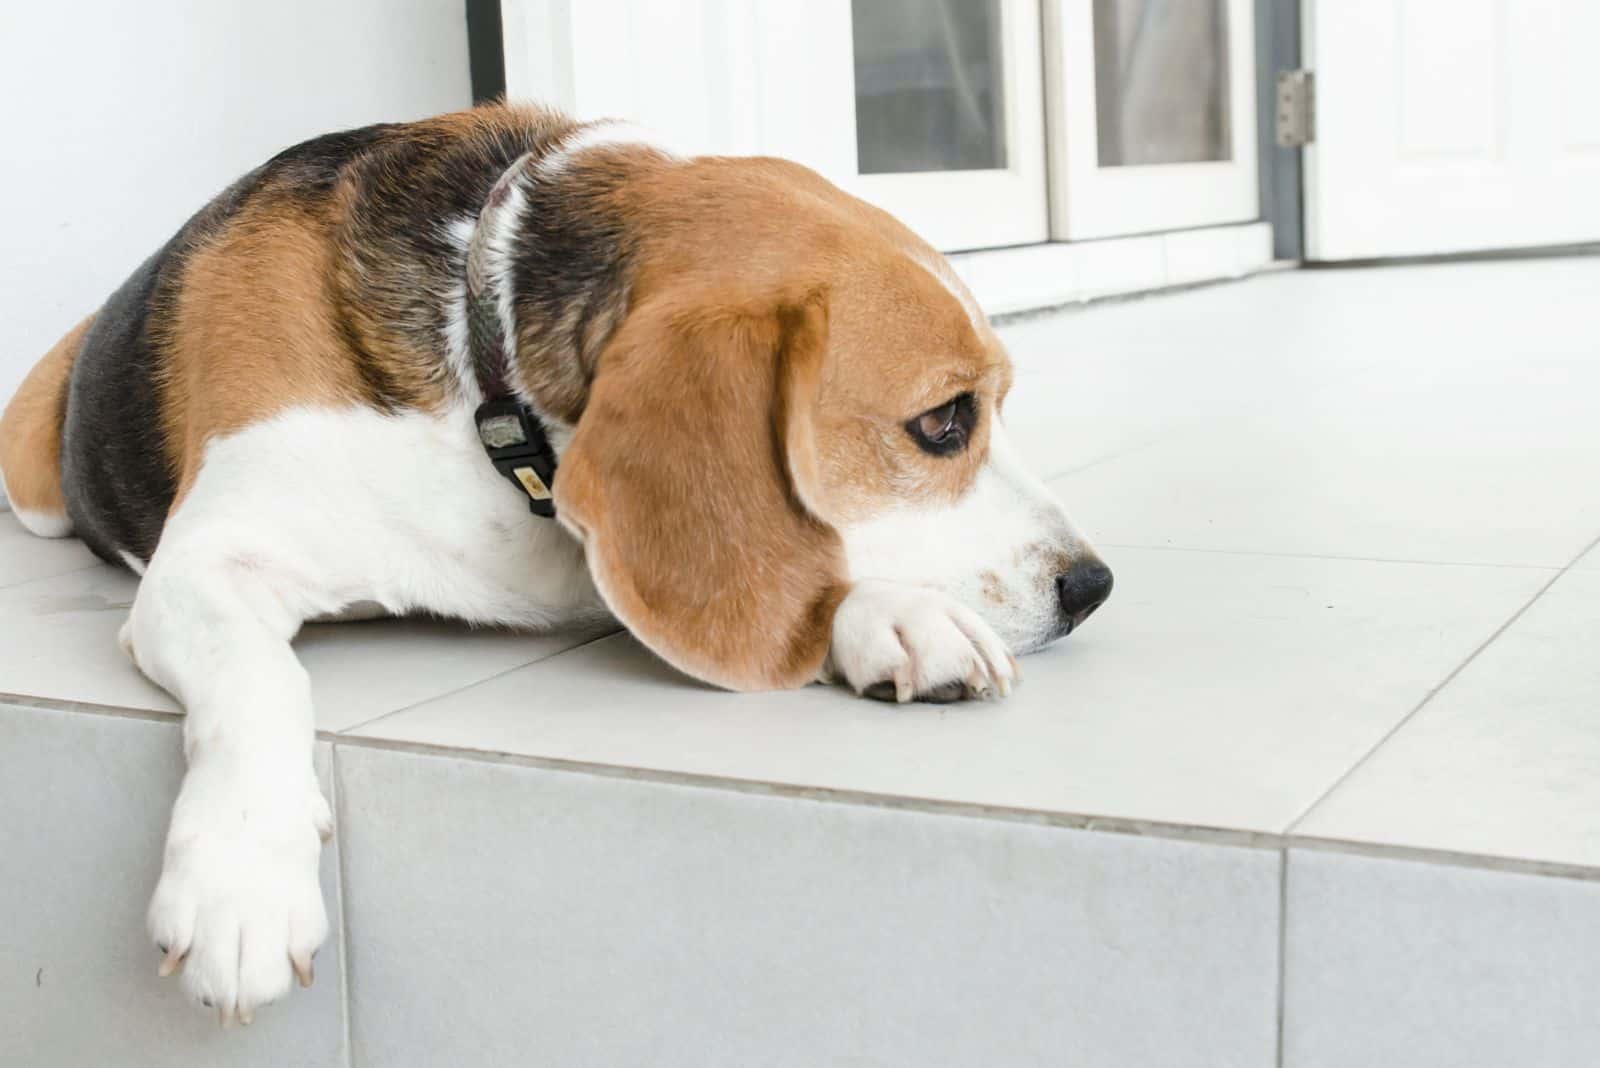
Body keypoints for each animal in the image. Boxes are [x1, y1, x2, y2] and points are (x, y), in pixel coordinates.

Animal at [0, 102, 1113, 1023]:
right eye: (943, 422)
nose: (1092, 587)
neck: (478, 352)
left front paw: (892, 614)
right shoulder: (204, 564)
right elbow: (261, 680)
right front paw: (241, 879)